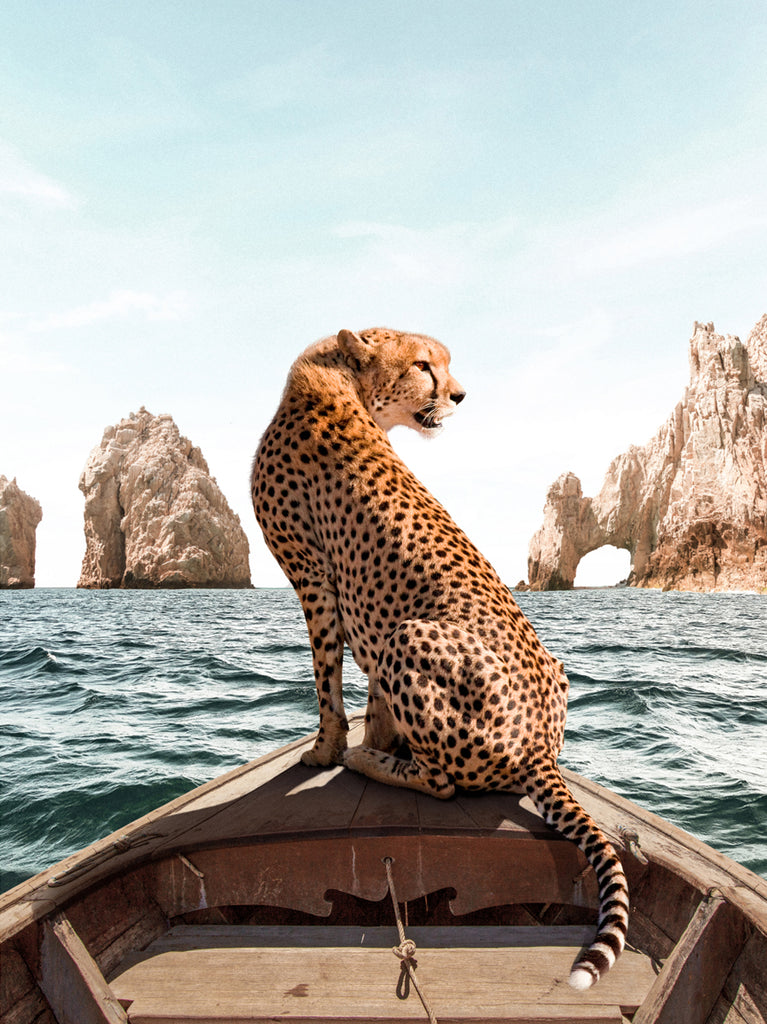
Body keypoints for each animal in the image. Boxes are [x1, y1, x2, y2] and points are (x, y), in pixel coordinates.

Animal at [251, 327, 628, 989]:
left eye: (442, 364)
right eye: (424, 364)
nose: (459, 394)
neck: (337, 376)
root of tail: (539, 746)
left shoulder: (313, 580)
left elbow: (326, 680)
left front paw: (327, 750)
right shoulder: (346, 598)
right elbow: (368, 695)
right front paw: (374, 735)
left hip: (409, 636)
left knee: (444, 783)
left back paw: (367, 762)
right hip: (536, 669)